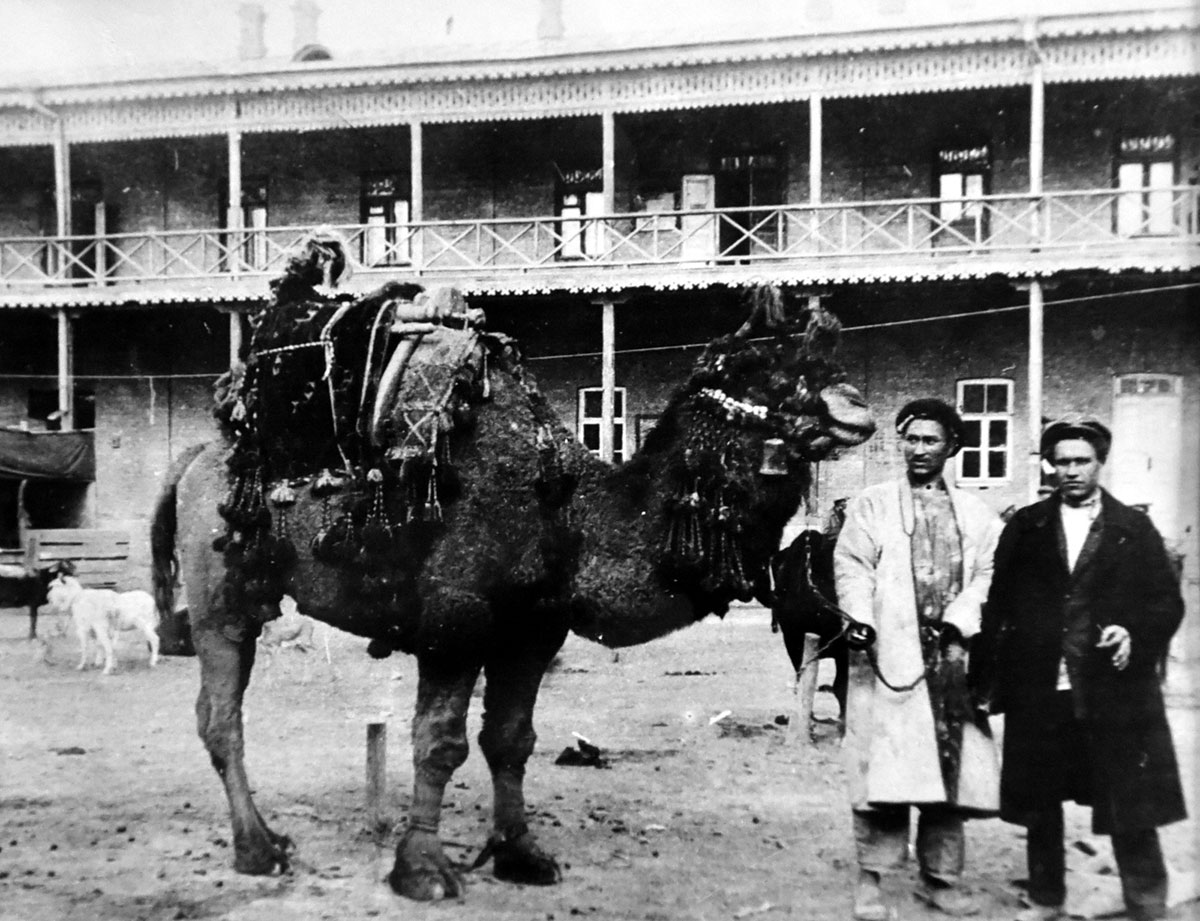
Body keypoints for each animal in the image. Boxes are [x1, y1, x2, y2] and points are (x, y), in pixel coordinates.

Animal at [152, 235, 873, 901]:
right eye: (761, 365)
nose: (856, 409)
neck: (568, 514)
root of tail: (192, 459)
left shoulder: (533, 629)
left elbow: (511, 739)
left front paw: (521, 854)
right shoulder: (457, 617)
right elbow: (439, 742)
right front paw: (424, 870)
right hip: (220, 592)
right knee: (222, 712)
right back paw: (258, 848)